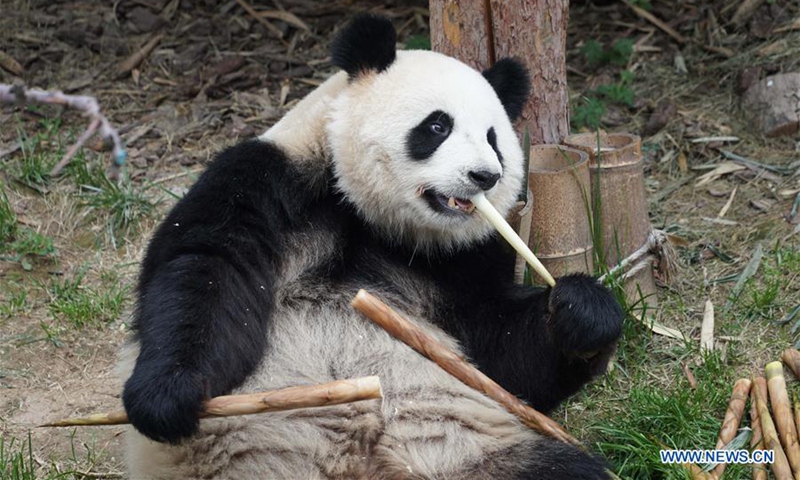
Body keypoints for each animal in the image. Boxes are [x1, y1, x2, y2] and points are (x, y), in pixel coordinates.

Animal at [120, 13, 624, 478]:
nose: (486, 176)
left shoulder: (463, 258)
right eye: (437, 126)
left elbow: (498, 353)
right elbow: (208, 269)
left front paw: (582, 312)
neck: (376, 222)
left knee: (559, 469)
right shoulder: (270, 181)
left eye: (493, 138)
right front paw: (168, 396)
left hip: (465, 449)